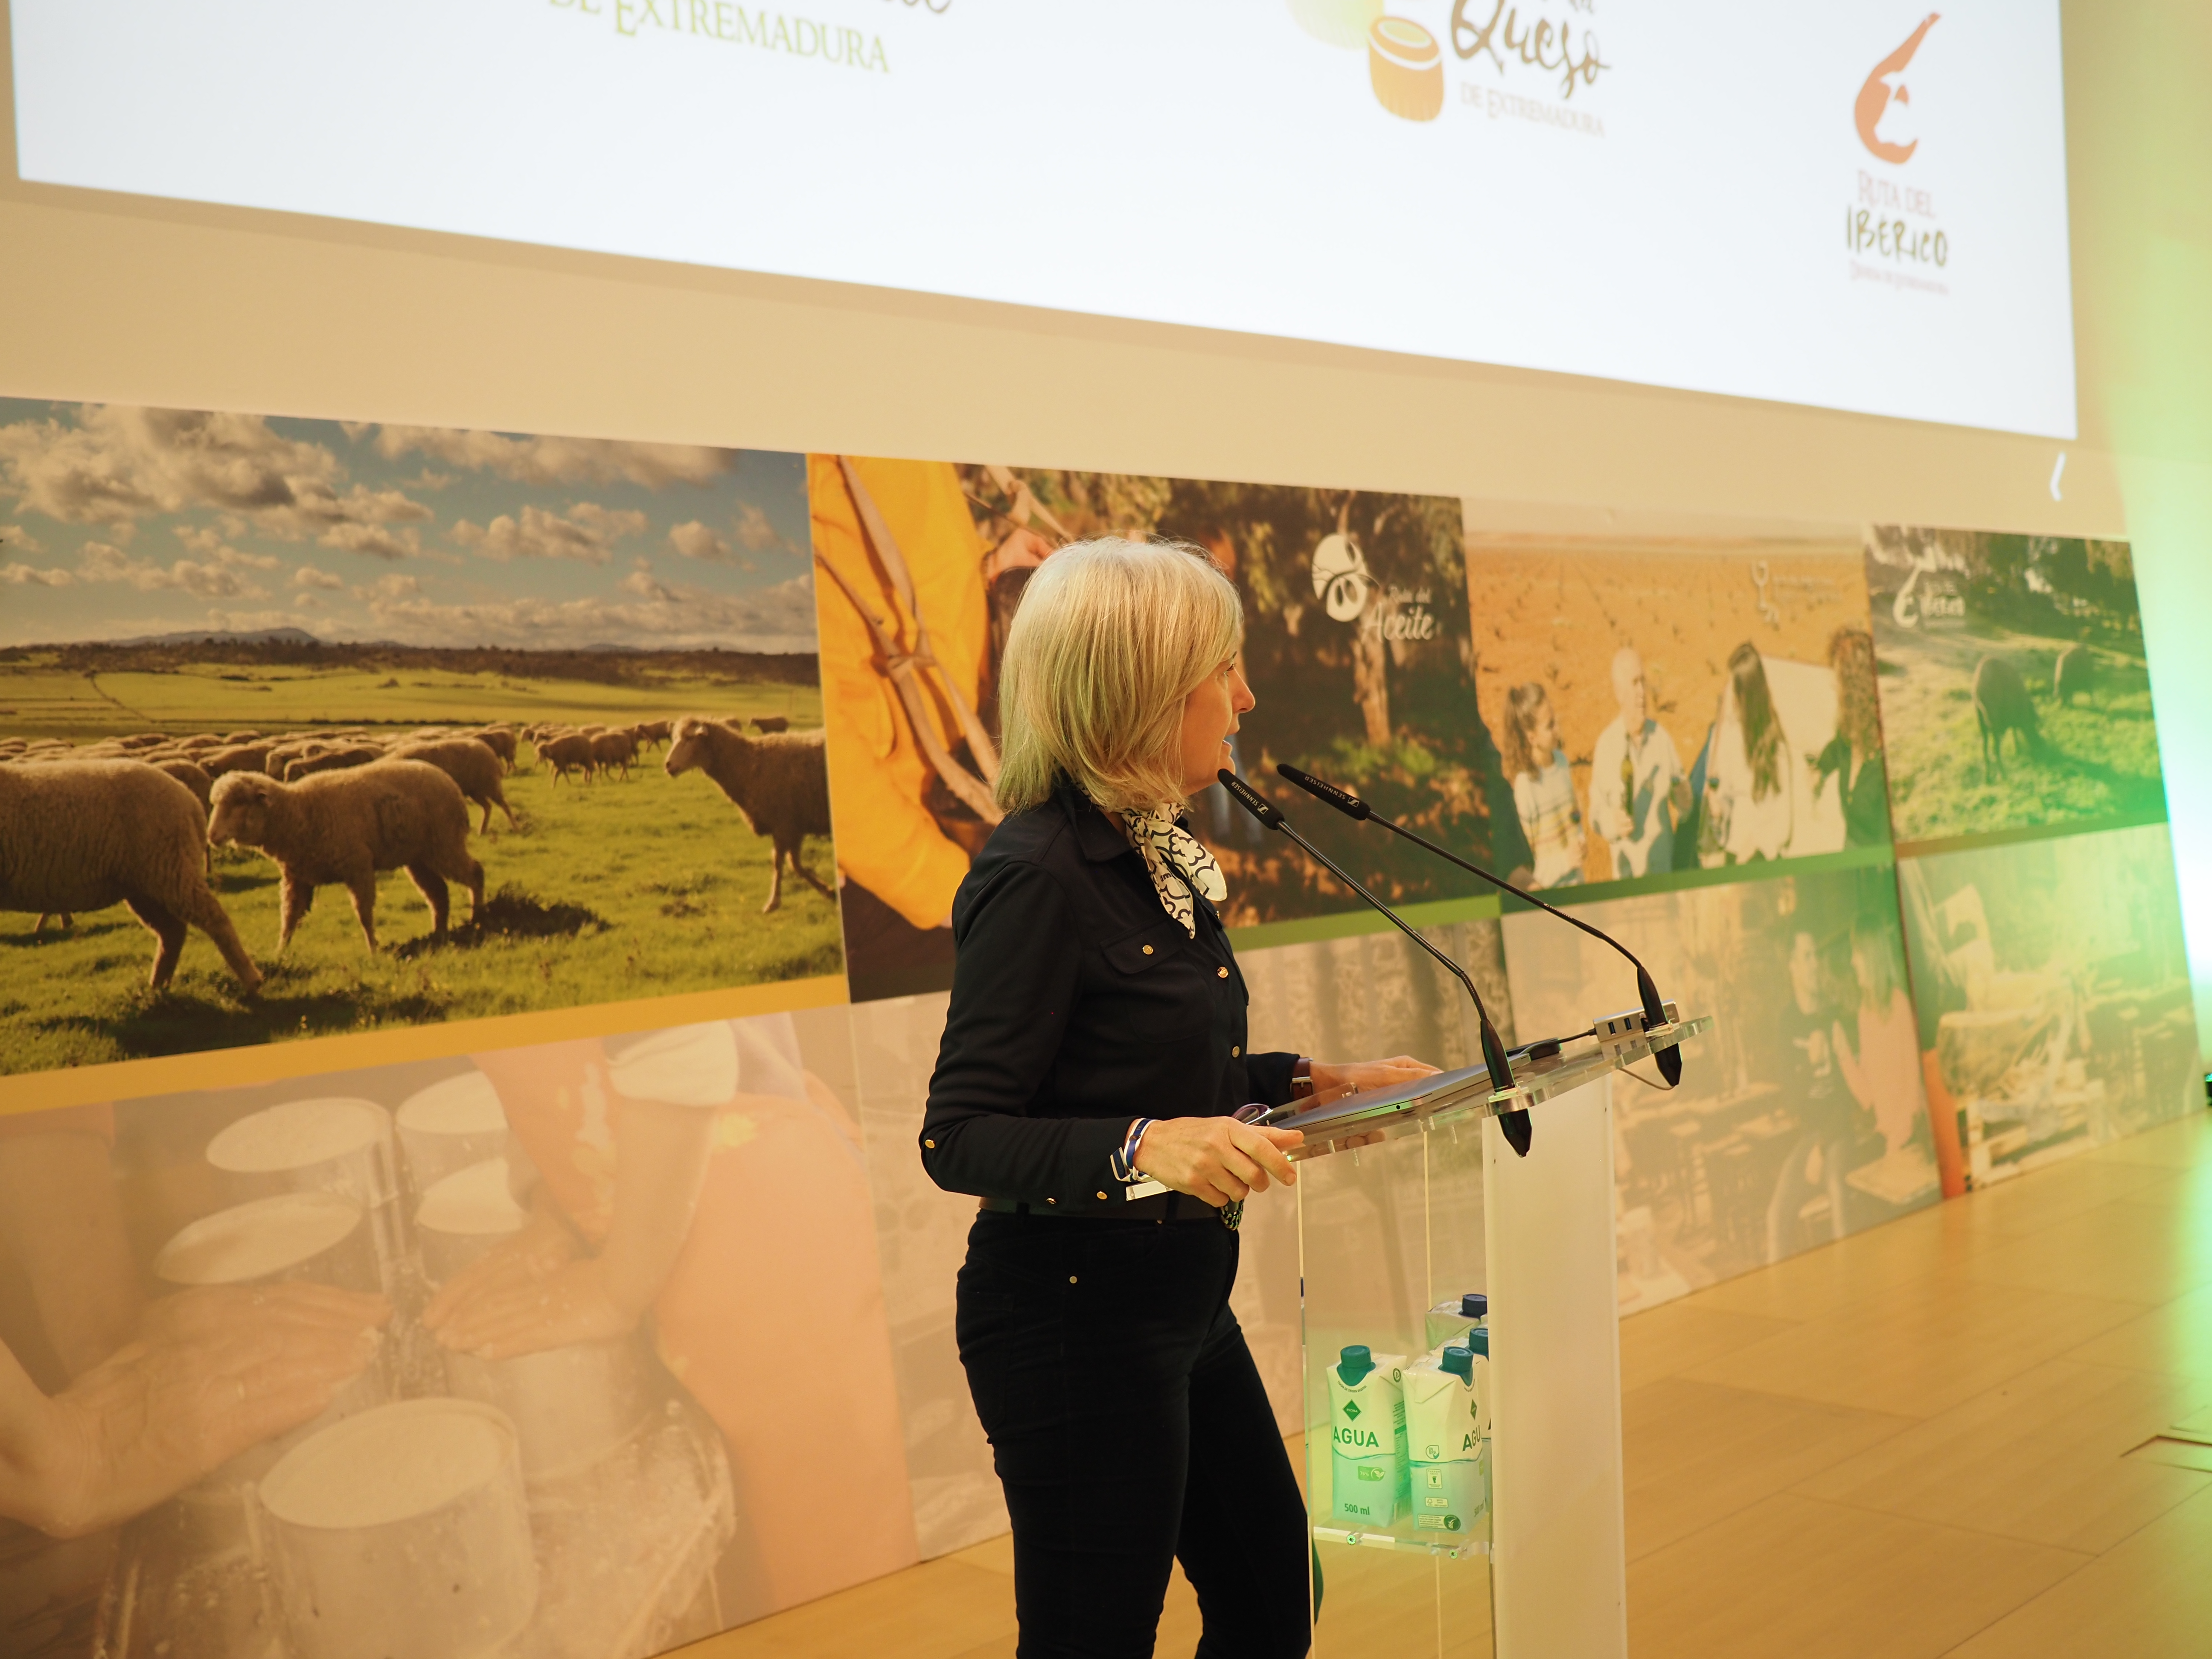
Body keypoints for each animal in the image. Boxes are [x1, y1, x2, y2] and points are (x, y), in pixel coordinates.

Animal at [0, 761, 263, 995]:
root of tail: (191, 802)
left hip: (170, 867)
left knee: (214, 919)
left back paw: (251, 980)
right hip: (144, 884)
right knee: (173, 932)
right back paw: (157, 987)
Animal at [208, 761, 484, 955]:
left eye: (239, 802)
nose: (211, 835)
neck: (299, 813)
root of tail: (447, 779)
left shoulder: (358, 866)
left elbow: (364, 914)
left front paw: (373, 949)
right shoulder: (296, 878)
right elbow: (289, 918)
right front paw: (280, 953)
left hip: (445, 844)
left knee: (475, 873)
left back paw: (478, 919)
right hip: (420, 856)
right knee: (439, 894)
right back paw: (439, 934)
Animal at [385, 743, 518, 836]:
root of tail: (491, 752)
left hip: (490, 785)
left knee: (505, 806)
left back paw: (515, 827)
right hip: (475, 791)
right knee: (487, 807)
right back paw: (482, 831)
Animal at [659, 721, 832, 916]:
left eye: (689, 738)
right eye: (674, 738)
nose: (668, 765)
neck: (748, 764)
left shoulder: (784, 824)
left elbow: (781, 863)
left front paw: (773, 903)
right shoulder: (793, 826)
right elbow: (795, 865)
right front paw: (828, 891)